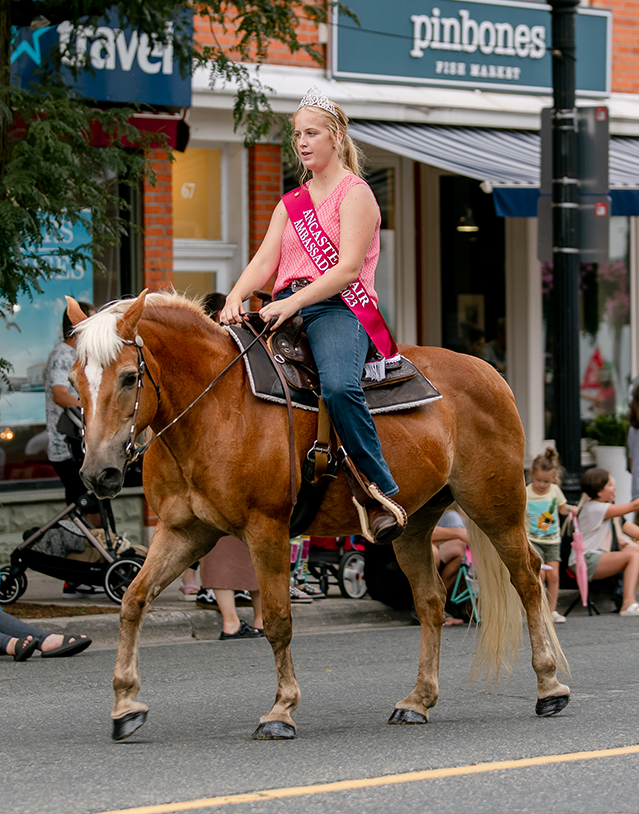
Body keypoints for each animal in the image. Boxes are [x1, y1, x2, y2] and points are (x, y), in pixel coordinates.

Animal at [65, 290, 568, 744]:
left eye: (129, 376)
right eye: (74, 381)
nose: (98, 473)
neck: (213, 407)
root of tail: (490, 372)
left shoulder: (265, 528)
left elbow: (277, 619)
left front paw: (281, 710)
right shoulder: (184, 532)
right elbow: (133, 600)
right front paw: (125, 704)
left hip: (495, 504)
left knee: (528, 579)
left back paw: (549, 687)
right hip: (413, 524)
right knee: (431, 601)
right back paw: (417, 700)